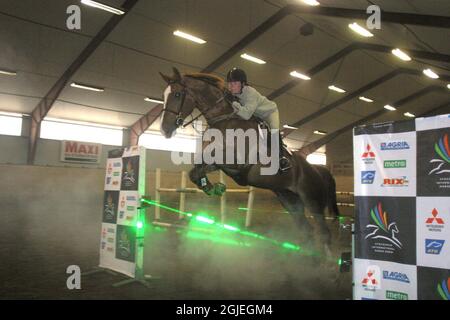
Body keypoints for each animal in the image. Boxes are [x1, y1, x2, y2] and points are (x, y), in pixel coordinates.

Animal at [157, 67, 338, 258]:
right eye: (163, 95)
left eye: (177, 94)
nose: (164, 130)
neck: (224, 119)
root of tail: (318, 170)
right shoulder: (219, 163)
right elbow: (196, 171)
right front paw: (213, 188)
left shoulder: (236, 162)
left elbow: (207, 163)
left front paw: (215, 187)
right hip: (289, 199)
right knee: (307, 230)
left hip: (312, 200)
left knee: (323, 232)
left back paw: (327, 263)